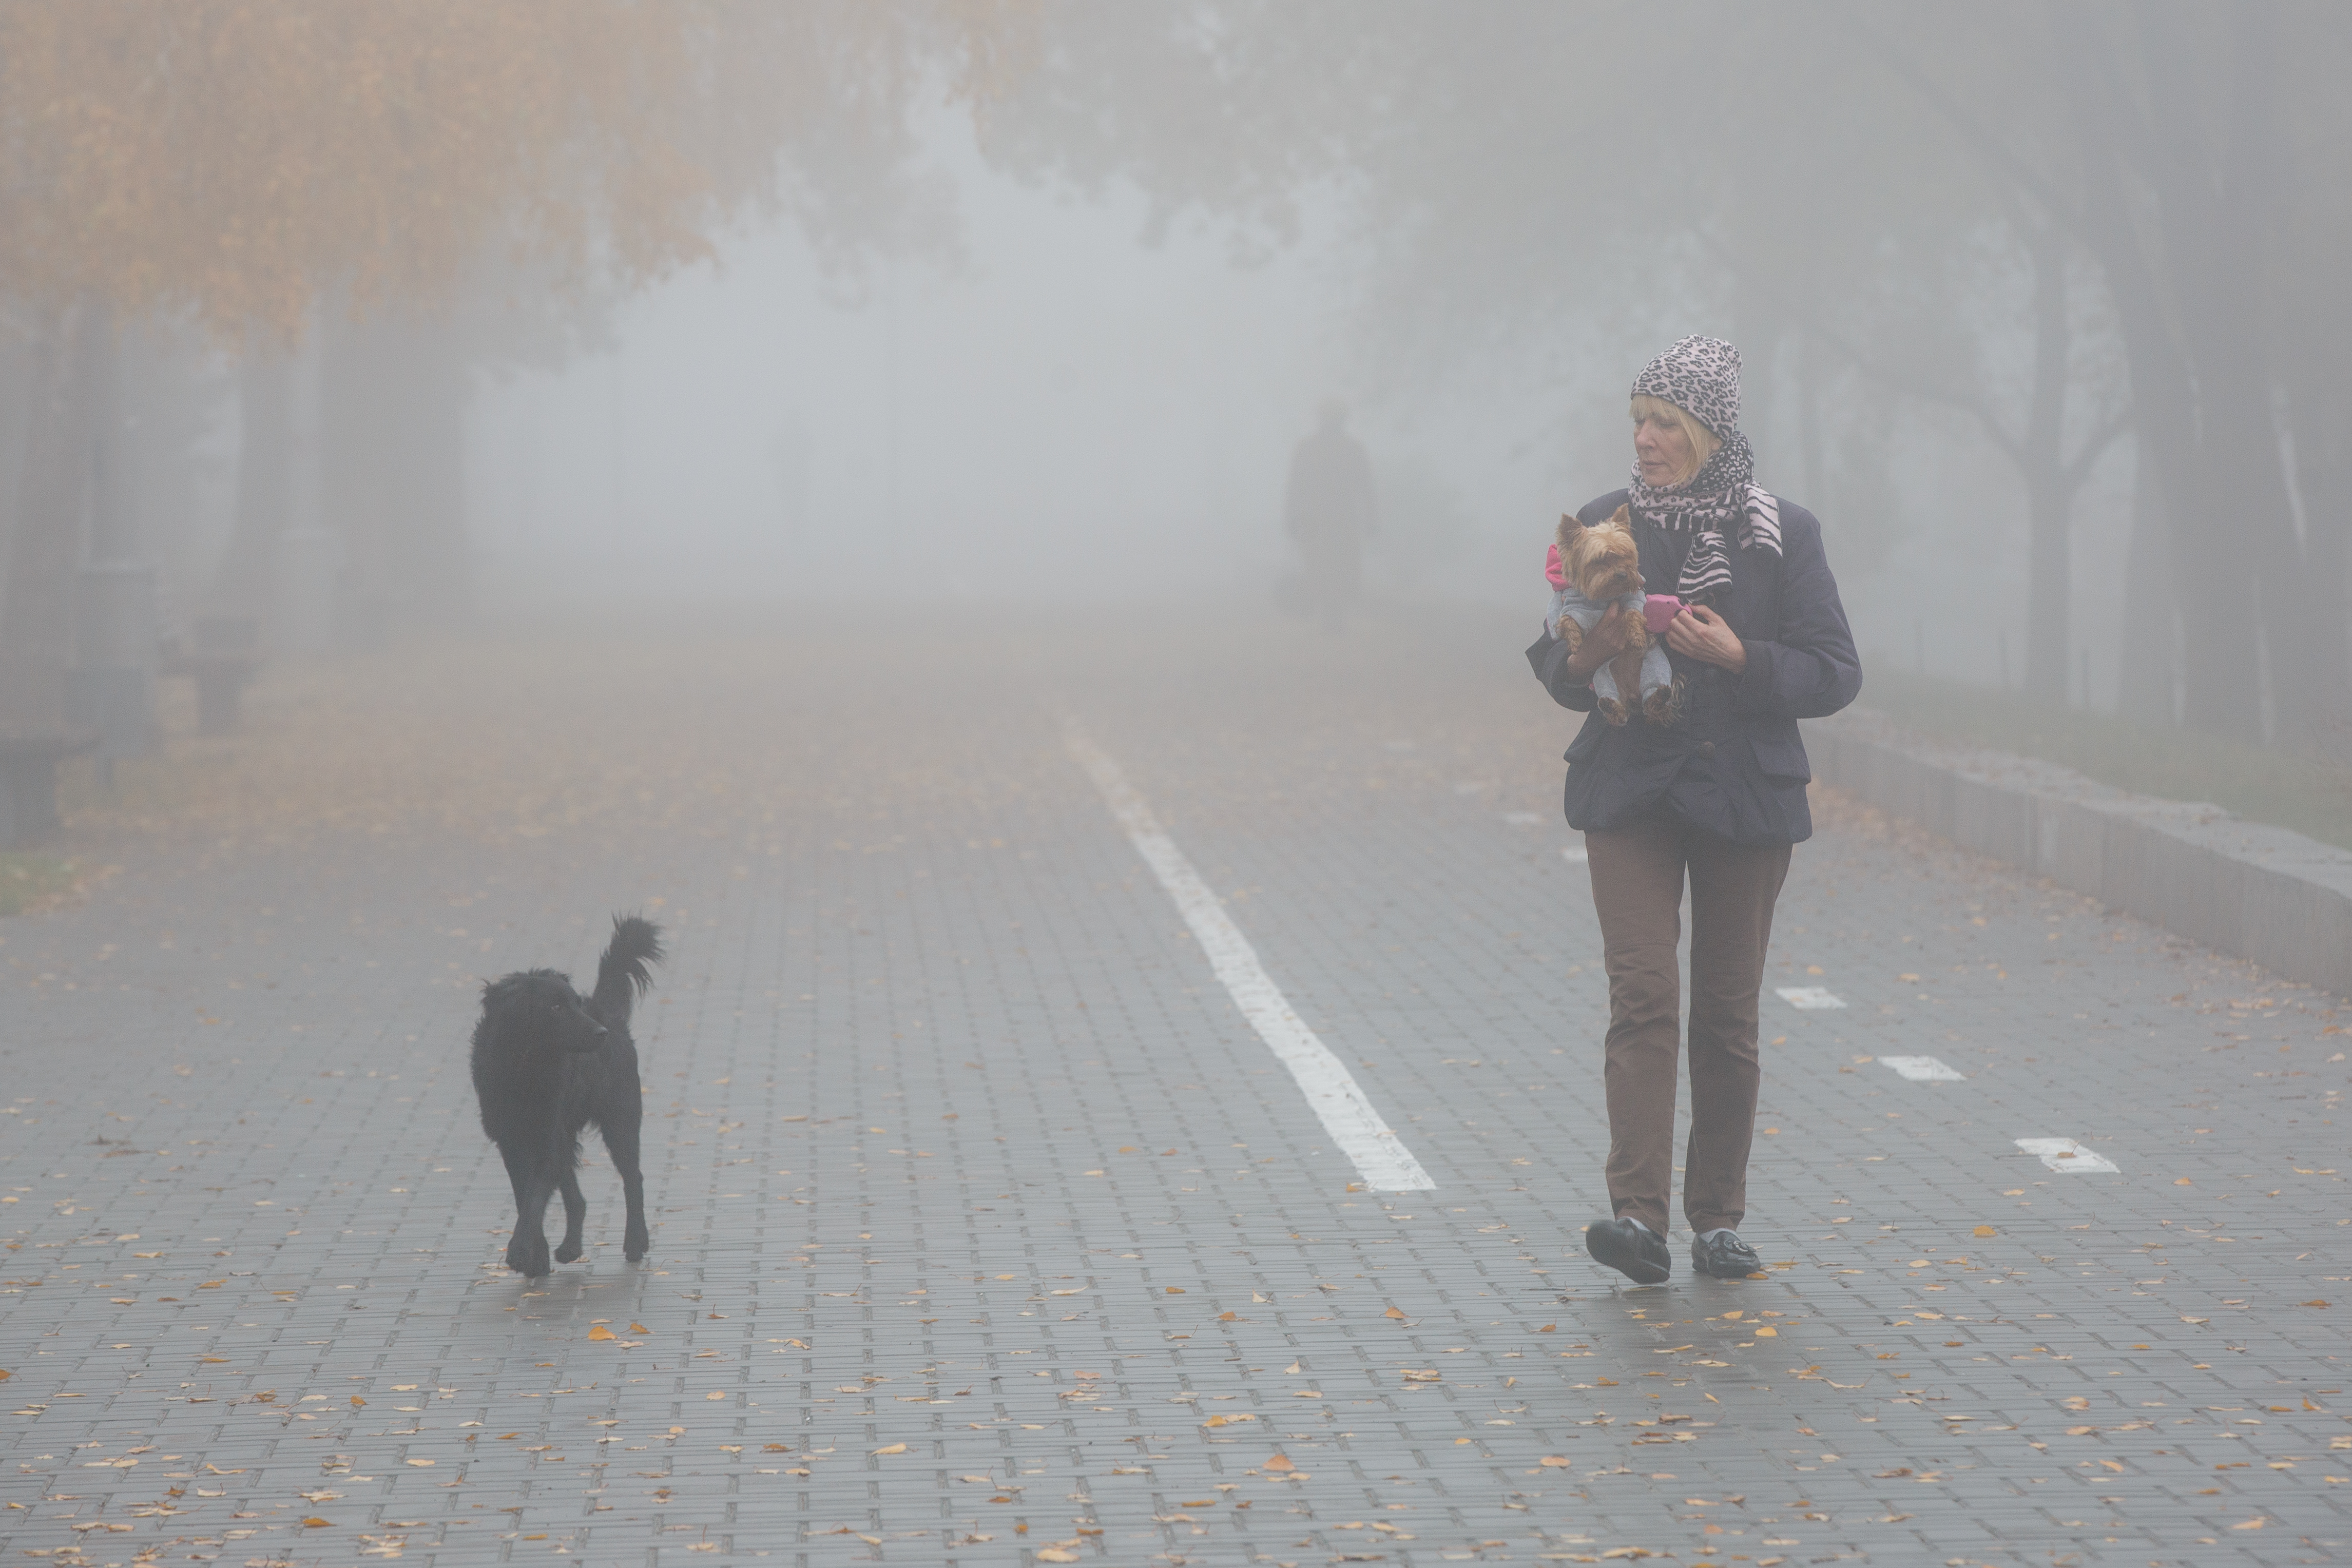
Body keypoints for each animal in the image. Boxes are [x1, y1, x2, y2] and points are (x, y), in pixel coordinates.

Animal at [470, 921, 668, 1279]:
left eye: (575, 1004)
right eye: (556, 1007)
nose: (601, 1033)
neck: (527, 1068)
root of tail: (606, 1012)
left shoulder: (548, 1142)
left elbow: (533, 1202)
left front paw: (519, 1252)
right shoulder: (511, 1143)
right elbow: (525, 1200)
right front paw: (537, 1259)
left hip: (620, 1121)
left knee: (634, 1179)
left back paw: (636, 1242)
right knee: (577, 1200)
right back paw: (570, 1249)